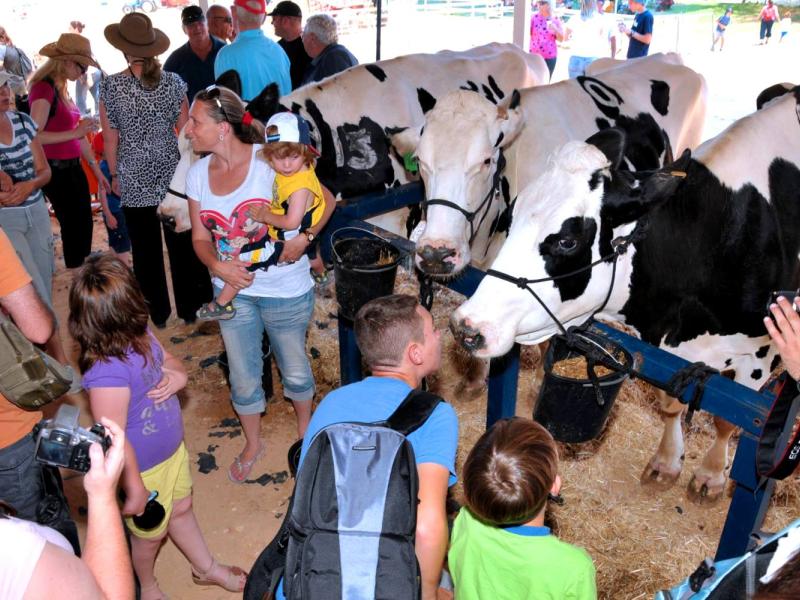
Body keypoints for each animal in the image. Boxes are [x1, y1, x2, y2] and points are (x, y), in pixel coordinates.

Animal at [454, 88, 800, 502]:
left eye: (568, 241)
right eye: (512, 215)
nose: (467, 326)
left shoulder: (761, 352)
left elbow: (728, 420)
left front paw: (712, 476)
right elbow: (671, 403)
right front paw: (667, 463)